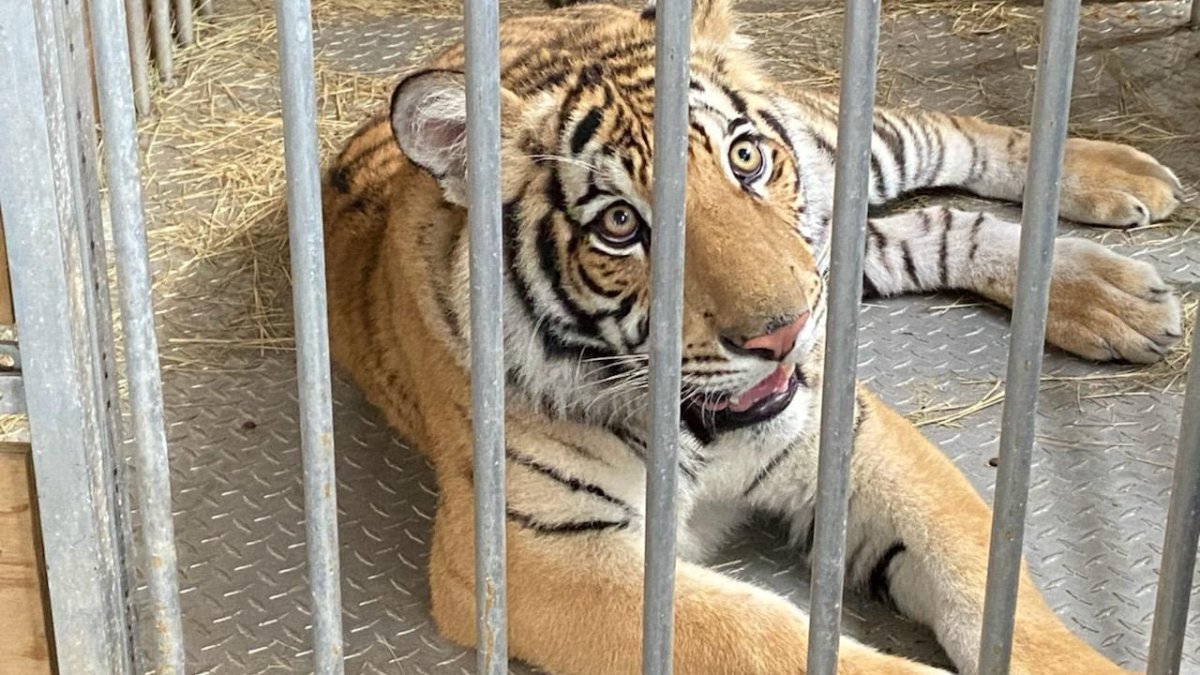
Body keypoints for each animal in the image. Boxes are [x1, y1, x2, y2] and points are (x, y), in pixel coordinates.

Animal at [319, 0, 1185, 672]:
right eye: (620, 224)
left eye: (746, 158)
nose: (786, 333)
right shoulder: (534, 554)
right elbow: (764, 637)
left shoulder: (853, 432)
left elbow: (981, 575)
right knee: (933, 228)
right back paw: (1113, 298)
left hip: (851, 153)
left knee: (957, 137)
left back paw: (1119, 188)